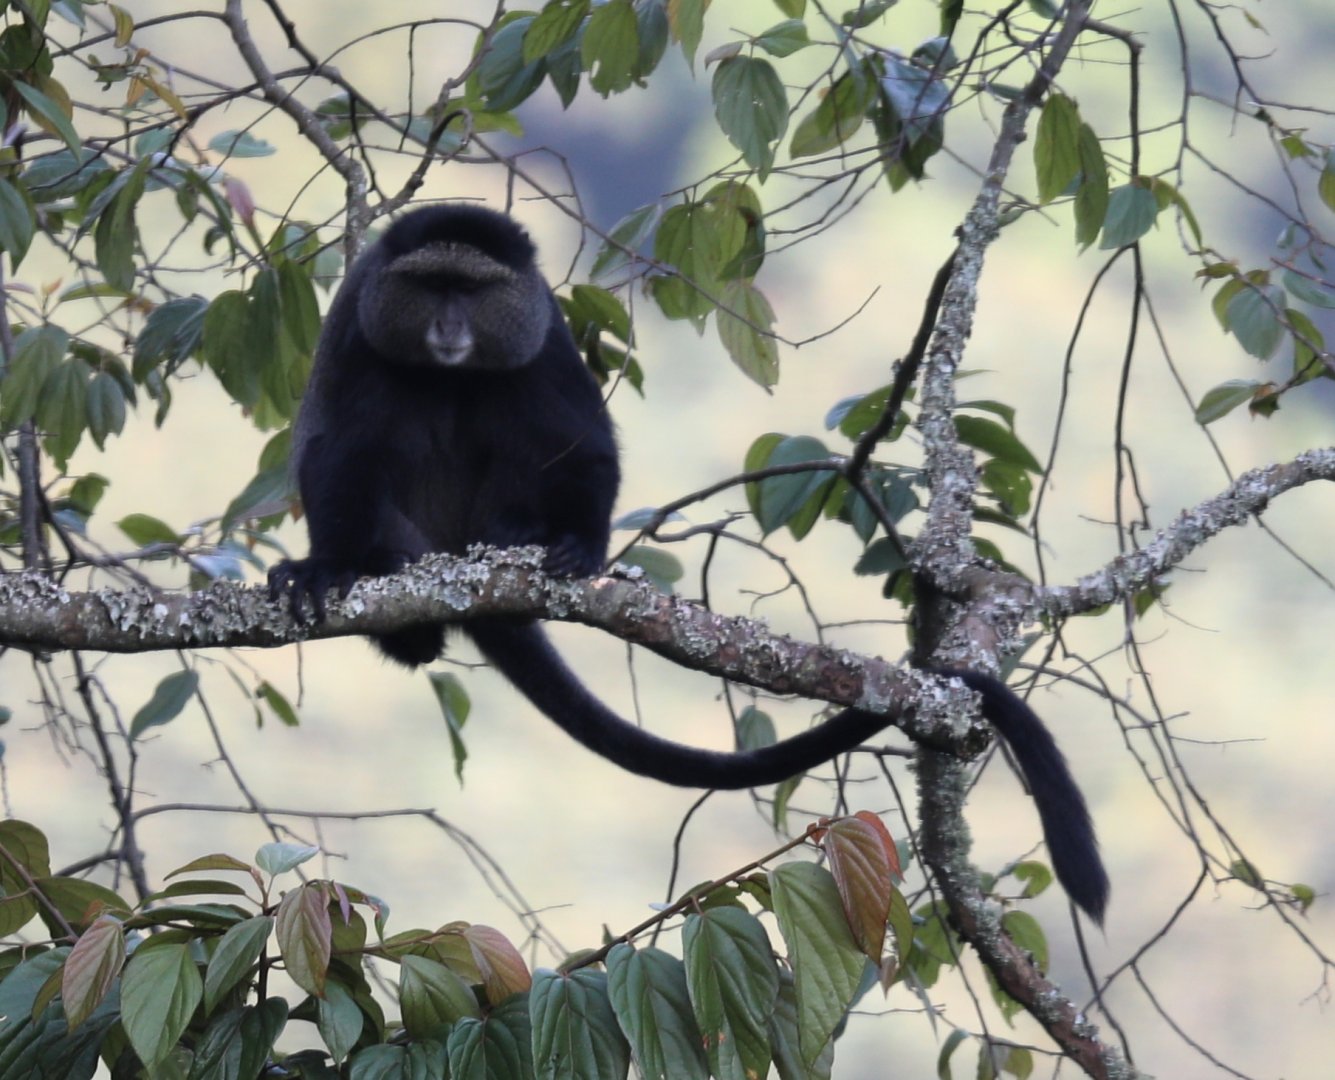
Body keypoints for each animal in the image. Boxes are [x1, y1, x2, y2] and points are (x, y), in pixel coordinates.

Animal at [267, 204, 1109, 925]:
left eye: (471, 290)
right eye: (428, 285)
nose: (446, 326)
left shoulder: (540, 332)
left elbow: (580, 439)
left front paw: (579, 546)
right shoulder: (358, 323)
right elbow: (336, 446)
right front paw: (323, 567)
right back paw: (387, 579)